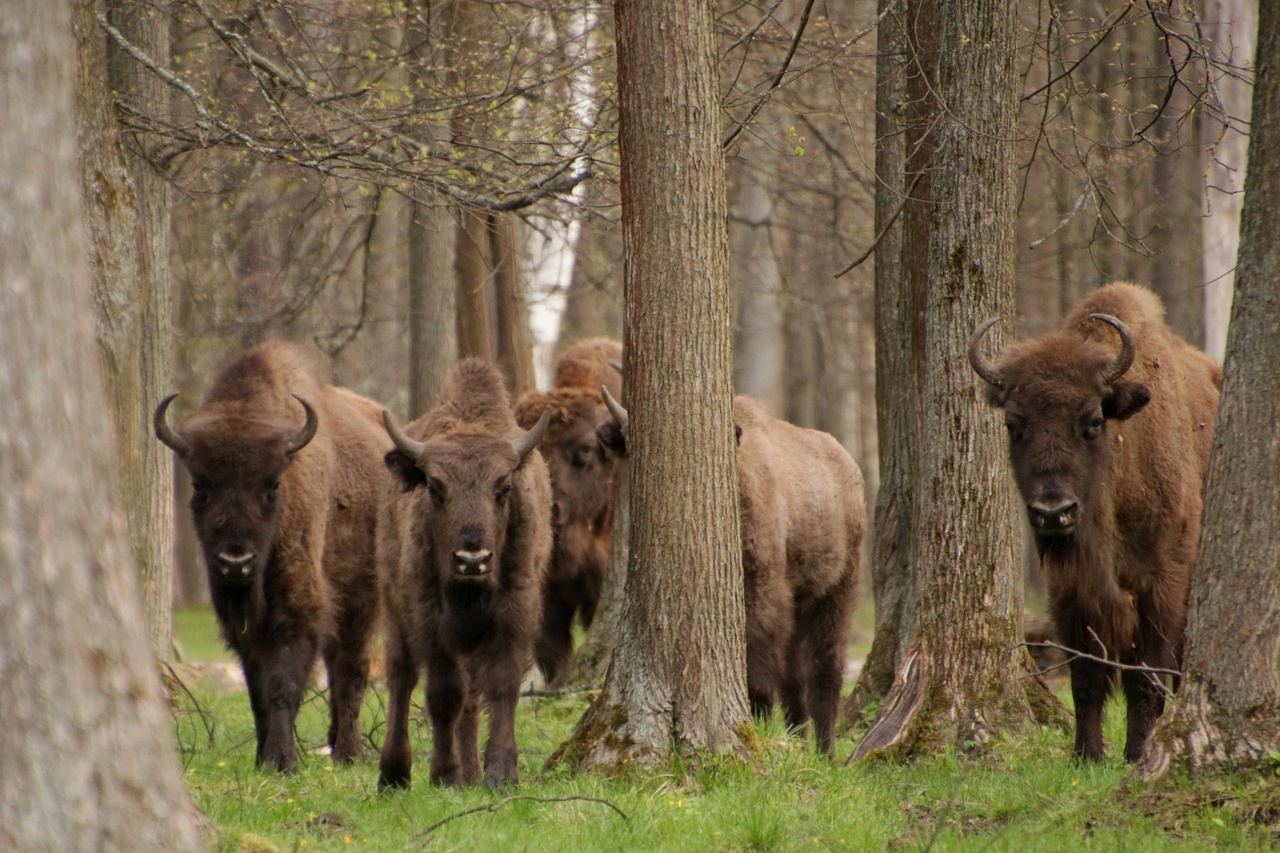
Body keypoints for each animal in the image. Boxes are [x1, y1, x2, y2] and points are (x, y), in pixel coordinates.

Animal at [153, 340, 389, 768]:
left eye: (274, 485)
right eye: (199, 485)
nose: (236, 562)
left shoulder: (297, 605)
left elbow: (283, 682)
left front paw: (283, 761)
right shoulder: (241, 625)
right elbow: (256, 690)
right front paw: (263, 758)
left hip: (364, 598)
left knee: (351, 668)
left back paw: (348, 753)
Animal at [371, 356, 550, 788]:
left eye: (504, 488)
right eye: (435, 489)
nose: (473, 559)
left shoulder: (514, 611)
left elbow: (499, 686)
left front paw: (500, 773)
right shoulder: (428, 615)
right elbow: (443, 692)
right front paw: (443, 773)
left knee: (469, 695)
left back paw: (469, 772)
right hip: (394, 607)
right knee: (401, 676)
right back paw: (394, 774)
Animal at [596, 386, 860, 758]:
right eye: (632, 448)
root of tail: (849, 464)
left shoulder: (763, 591)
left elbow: (760, 669)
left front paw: (755, 722)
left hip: (839, 590)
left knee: (827, 670)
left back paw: (826, 753)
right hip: (803, 601)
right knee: (795, 678)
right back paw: (799, 740)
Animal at [967, 281, 1218, 758]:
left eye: (1094, 420)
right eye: (1012, 424)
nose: (1053, 511)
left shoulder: (1161, 584)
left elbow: (1145, 677)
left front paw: (1137, 752)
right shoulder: (1071, 591)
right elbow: (1085, 678)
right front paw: (1086, 755)